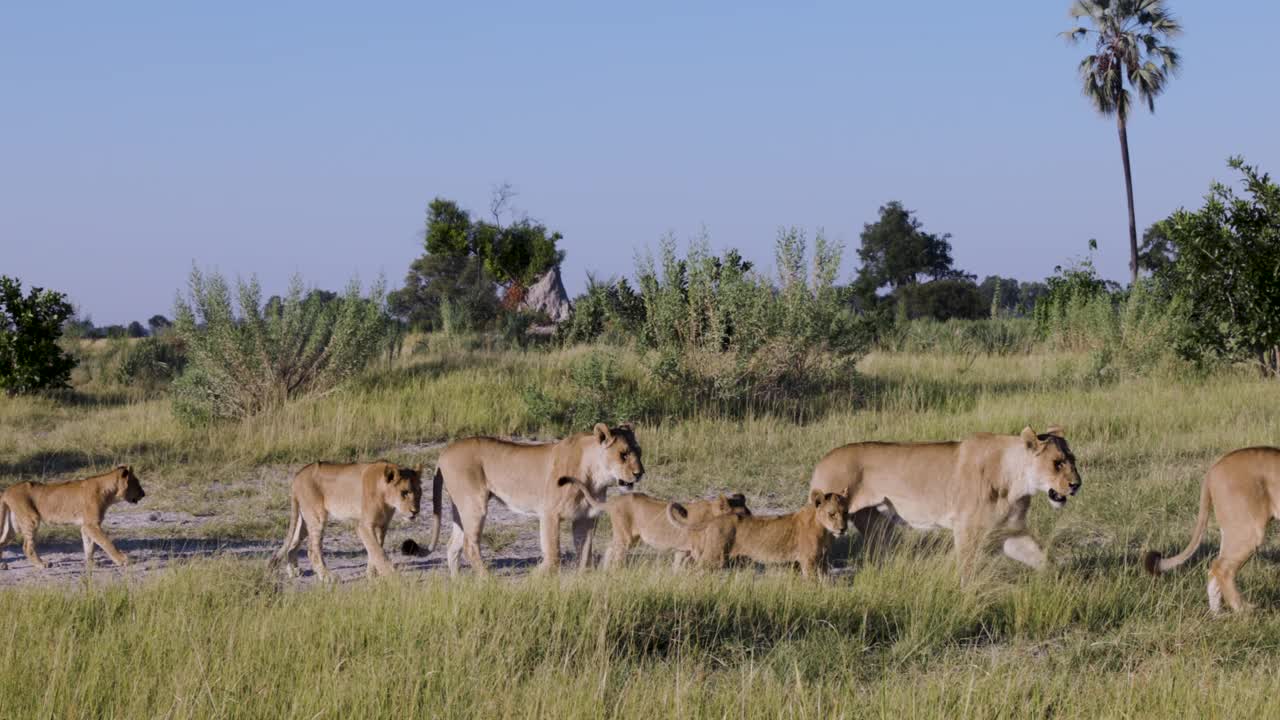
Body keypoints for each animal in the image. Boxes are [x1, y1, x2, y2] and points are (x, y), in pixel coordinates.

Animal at [0, 466, 145, 571]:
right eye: (137, 483)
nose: (144, 494)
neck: (110, 492)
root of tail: (7, 491)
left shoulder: (86, 526)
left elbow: (89, 546)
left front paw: (91, 564)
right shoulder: (92, 524)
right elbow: (107, 543)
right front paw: (123, 560)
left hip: (14, 526)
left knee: (2, 541)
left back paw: (2, 565)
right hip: (31, 519)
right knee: (27, 546)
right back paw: (42, 564)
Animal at [271, 458, 424, 576]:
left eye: (419, 492)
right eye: (404, 492)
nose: (415, 511)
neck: (386, 498)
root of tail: (298, 474)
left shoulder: (382, 526)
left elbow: (375, 548)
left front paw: (371, 573)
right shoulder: (363, 526)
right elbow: (377, 550)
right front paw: (392, 575)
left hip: (305, 519)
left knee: (293, 543)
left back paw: (294, 571)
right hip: (318, 517)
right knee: (312, 551)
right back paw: (328, 577)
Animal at [558, 476, 747, 566]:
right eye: (742, 515)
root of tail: (614, 500)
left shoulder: (682, 550)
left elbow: (677, 568)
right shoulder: (696, 550)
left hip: (631, 537)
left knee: (610, 548)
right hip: (625, 536)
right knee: (613, 550)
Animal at [670, 484, 849, 573]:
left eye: (846, 513)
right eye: (832, 514)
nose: (842, 529)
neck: (825, 531)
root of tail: (715, 519)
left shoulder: (822, 561)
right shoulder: (808, 560)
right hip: (714, 557)